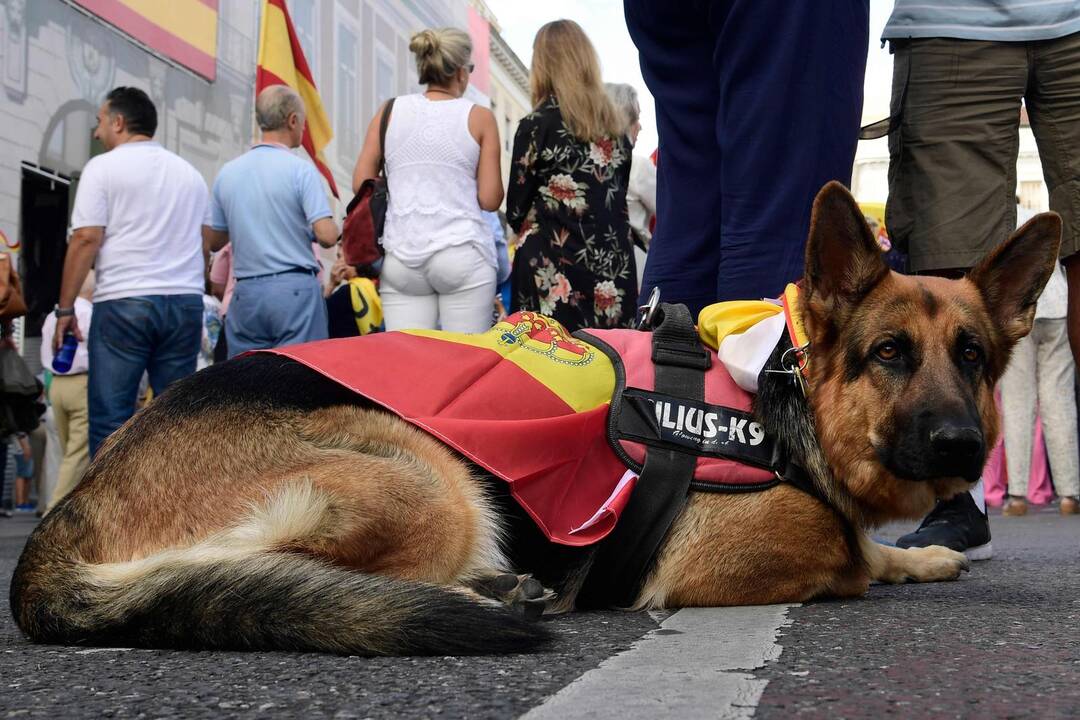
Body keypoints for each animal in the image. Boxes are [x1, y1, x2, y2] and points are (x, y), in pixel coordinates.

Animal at [8, 183, 1058, 656]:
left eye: (972, 355)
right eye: (890, 354)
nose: (963, 446)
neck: (777, 380)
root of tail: (65, 519)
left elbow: (874, 545)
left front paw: (928, 554)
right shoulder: (752, 547)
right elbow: (848, 553)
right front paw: (897, 556)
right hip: (425, 474)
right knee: (265, 578)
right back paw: (483, 597)